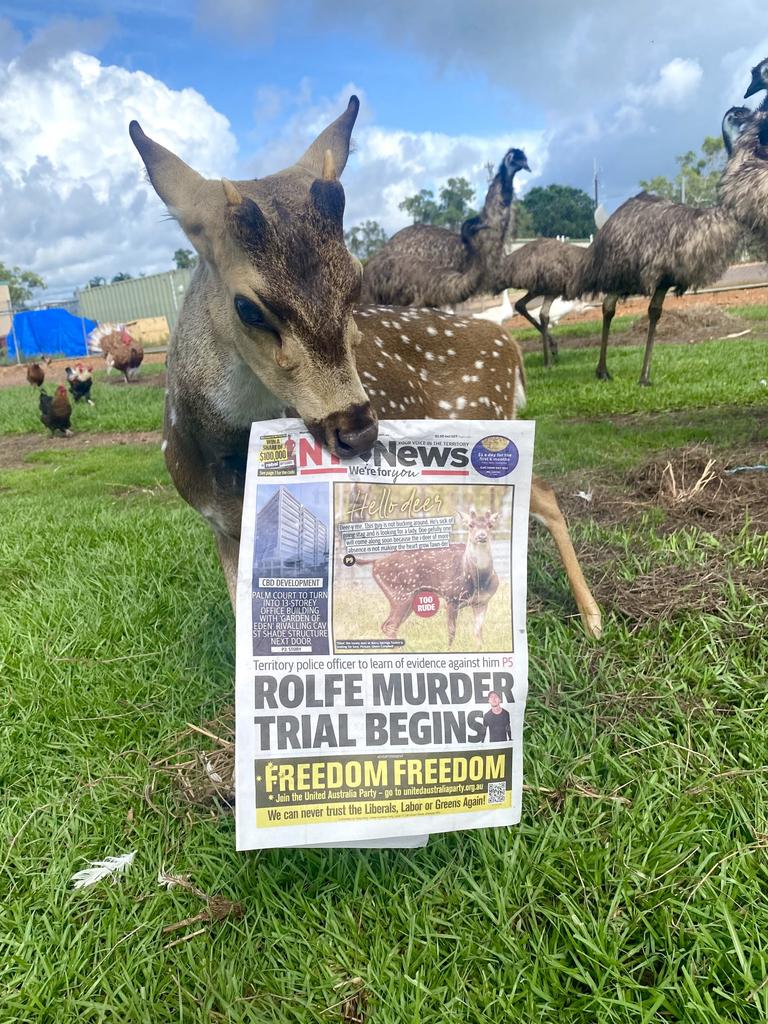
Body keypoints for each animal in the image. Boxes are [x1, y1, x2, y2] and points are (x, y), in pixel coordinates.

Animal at [358, 505, 501, 643]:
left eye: (490, 525)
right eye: (470, 525)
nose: (481, 536)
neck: (479, 580)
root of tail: (376, 562)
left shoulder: (482, 601)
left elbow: (478, 633)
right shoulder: (451, 597)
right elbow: (451, 631)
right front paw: (449, 648)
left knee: (387, 625)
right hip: (400, 594)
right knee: (390, 625)